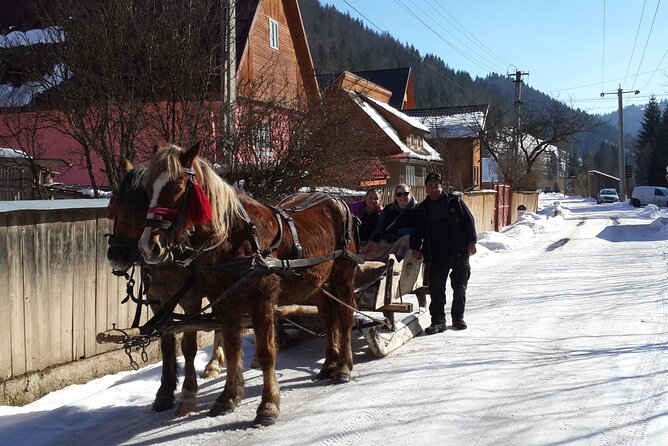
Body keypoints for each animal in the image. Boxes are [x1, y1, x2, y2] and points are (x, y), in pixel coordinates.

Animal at [107, 159, 226, 414]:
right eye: (115, 204)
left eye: (143, 204)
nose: (116, 255)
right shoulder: (156, 300)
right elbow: (166, 342)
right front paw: (164, 392)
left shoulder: (191, 300)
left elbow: (188, 345)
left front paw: (188, 393)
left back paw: (215, 363)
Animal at [138, 142, 362, 426]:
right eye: (147, 190)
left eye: (177, 187)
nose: (148, 247)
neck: (236, 237)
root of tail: (336, 200)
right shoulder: (225, 303)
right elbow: (232, 348)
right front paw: (228, 398)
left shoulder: (261, 299)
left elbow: (266, 352)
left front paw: (268, 405)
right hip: (314, 282)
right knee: (327, 314)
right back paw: (329, 363)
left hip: (343, 275)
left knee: (344, 316)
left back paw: (343, 367)